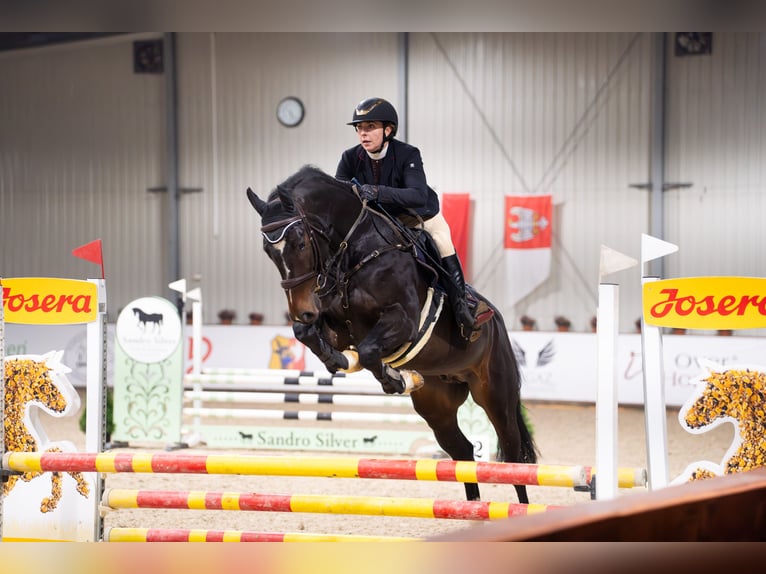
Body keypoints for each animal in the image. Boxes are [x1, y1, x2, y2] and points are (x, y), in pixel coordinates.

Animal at [246, 165, 537, 502]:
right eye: (268, 250)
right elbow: (308, 333)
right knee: (463, 451)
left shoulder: (403, 321)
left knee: (513, 456)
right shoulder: (338, 325)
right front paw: (340, 362)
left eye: (300, 243)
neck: (356, 250)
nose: (302, 309)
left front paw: (394, 378)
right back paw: (474, 508)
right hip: (437, 405)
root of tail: (498, 322)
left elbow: (369, 351)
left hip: (494, 392)